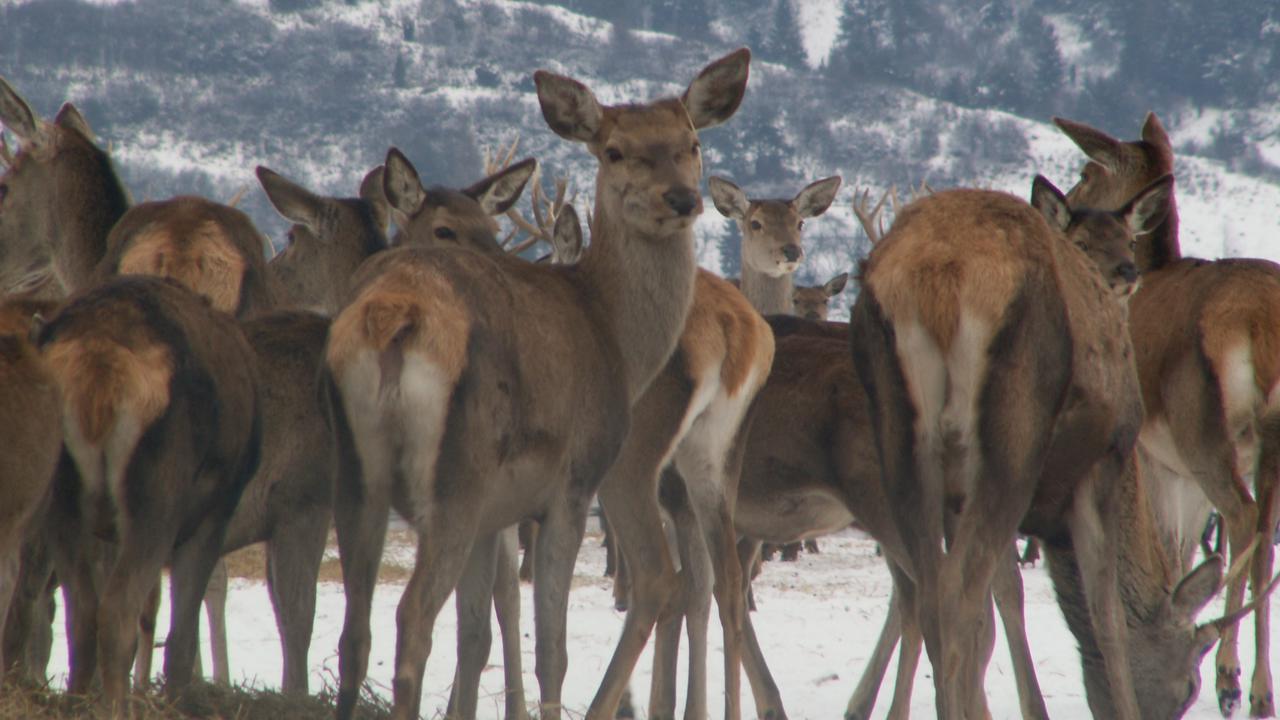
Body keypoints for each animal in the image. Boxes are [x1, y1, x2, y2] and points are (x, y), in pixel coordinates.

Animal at [322, 50, 747, 717]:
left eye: (692, 143)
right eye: (614, 150)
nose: (681, 198)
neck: (616, 338)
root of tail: (392, 316)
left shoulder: (497, 514)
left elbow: (478, 630)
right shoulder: (571, 483)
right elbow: (553, 649)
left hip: (353, 470)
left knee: (354, 631)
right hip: (457, 477)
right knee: (412, 618)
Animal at [1054, 110, 1280, 712]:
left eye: (1086, 173)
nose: (1065, 200)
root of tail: (1258, 326)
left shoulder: (1152, 456)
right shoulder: (1172, 468)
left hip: (1199, 424)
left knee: (1243, 517)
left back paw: (1229, 677)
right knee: (1265, 535)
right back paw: (1260, 691)